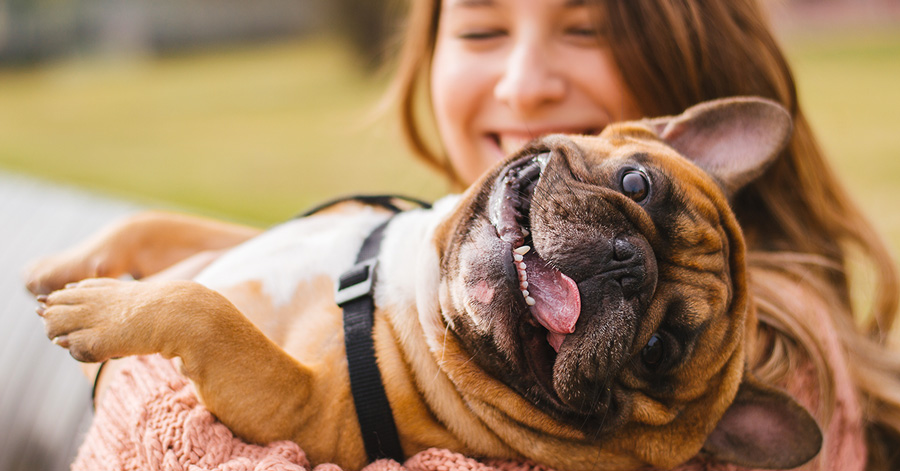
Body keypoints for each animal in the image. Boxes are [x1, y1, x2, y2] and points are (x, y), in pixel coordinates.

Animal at [24, 97, 820, 470]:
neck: (411, 282)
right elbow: (156, 226)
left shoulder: (301, 410)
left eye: (658, 350)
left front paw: (101, 310)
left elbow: (209, 312)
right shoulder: (243, 239)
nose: (629, 263)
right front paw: (63, 267)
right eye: (635, 183)